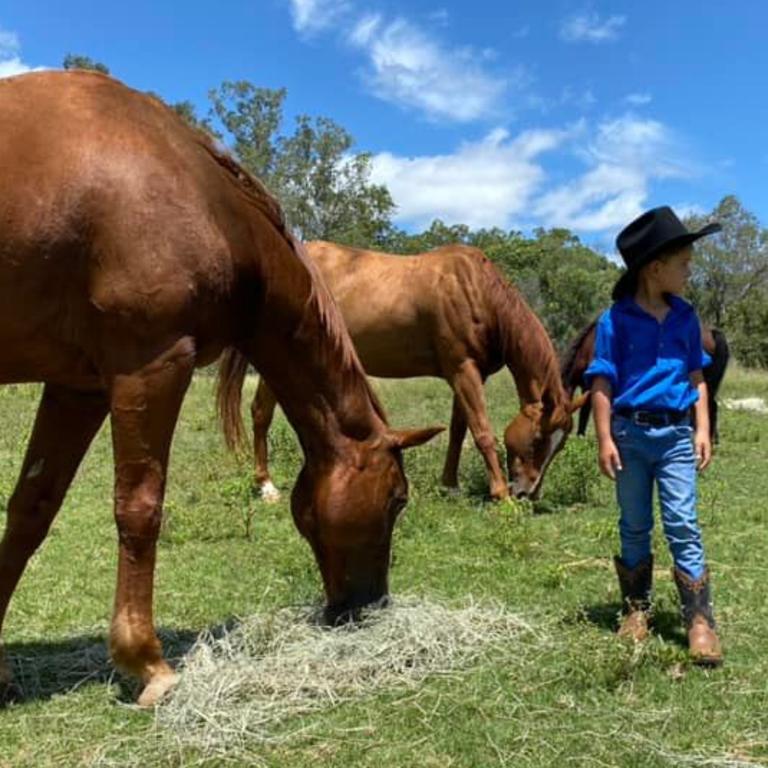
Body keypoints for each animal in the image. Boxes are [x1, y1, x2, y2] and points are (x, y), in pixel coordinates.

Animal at [0, 73, 438, 708]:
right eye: (397, 499)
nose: (369, 605)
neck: (198, 192)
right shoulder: (152, 364)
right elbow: (139, 508)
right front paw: (147, 663)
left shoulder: (75, 385)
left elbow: (31, 508)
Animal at [249, 243, 584, 500]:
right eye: (538, 438)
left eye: (560, 444)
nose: (527, 493)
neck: (475, 290)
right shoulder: (463, 370)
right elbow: (482, 431)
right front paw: (500, 494)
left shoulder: (466, 373)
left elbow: (459, 430)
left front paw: (450, 485)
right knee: (261, 413)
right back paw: (266, 486)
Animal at [564, 316, 732, 438]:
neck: (587, 348)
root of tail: (712, 332)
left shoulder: (592, 387)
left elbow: (586, 410)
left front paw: (581, 435)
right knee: (711, 405)